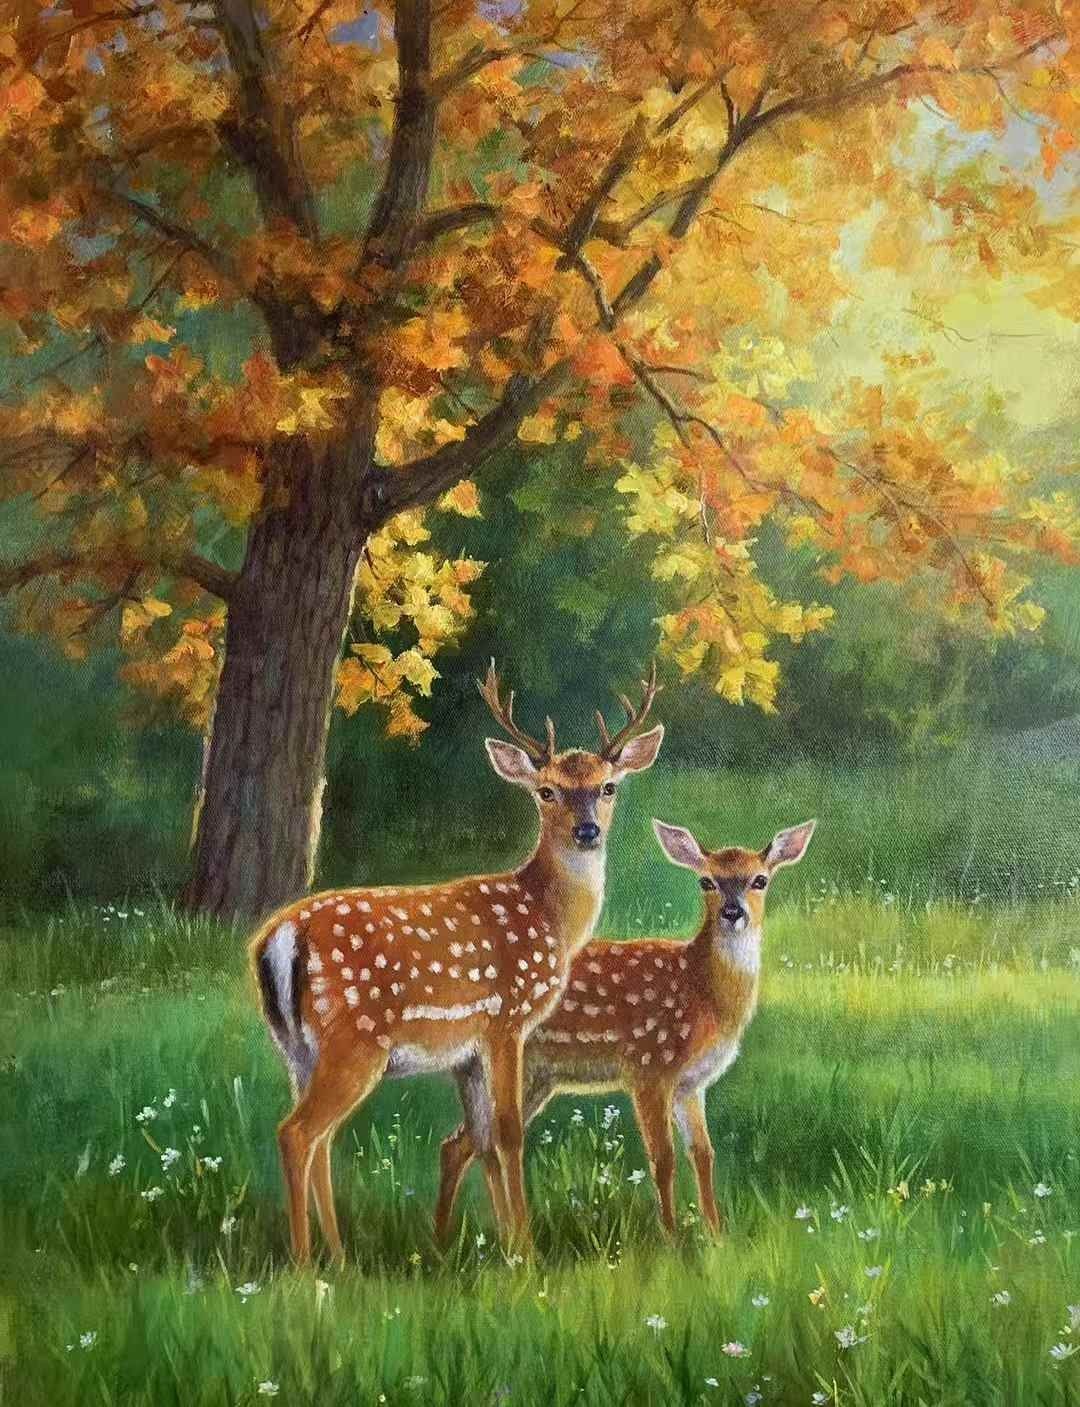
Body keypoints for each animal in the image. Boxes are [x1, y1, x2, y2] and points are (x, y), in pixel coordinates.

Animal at [249, 663, 664, 1262]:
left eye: (608, 786)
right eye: (546, 791)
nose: (587, 830)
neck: (550, 920)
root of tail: (279, 936)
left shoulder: (466, 1051)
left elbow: (481, 1137)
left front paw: (504, 1248)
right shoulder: (507, 1019)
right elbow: (509, 1131)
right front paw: (528, 1251)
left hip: (295, 1049)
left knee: (319, 1137)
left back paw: (340, 1256)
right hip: (356, 1038)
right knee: (297, 1132)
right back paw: (306, 1265)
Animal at [434, 815, 815, 1240]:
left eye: (760, 880)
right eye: (707, 881)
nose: (733, 913)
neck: (703, 993)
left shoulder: (691, 1084)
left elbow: (703, 1154)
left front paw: (716, 1235)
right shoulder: (650, 1066)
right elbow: (663, 1158)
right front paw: (672, 1237)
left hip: (531, 1078)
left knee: (458, 1144)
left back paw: (445, 1240)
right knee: (468, 1142)